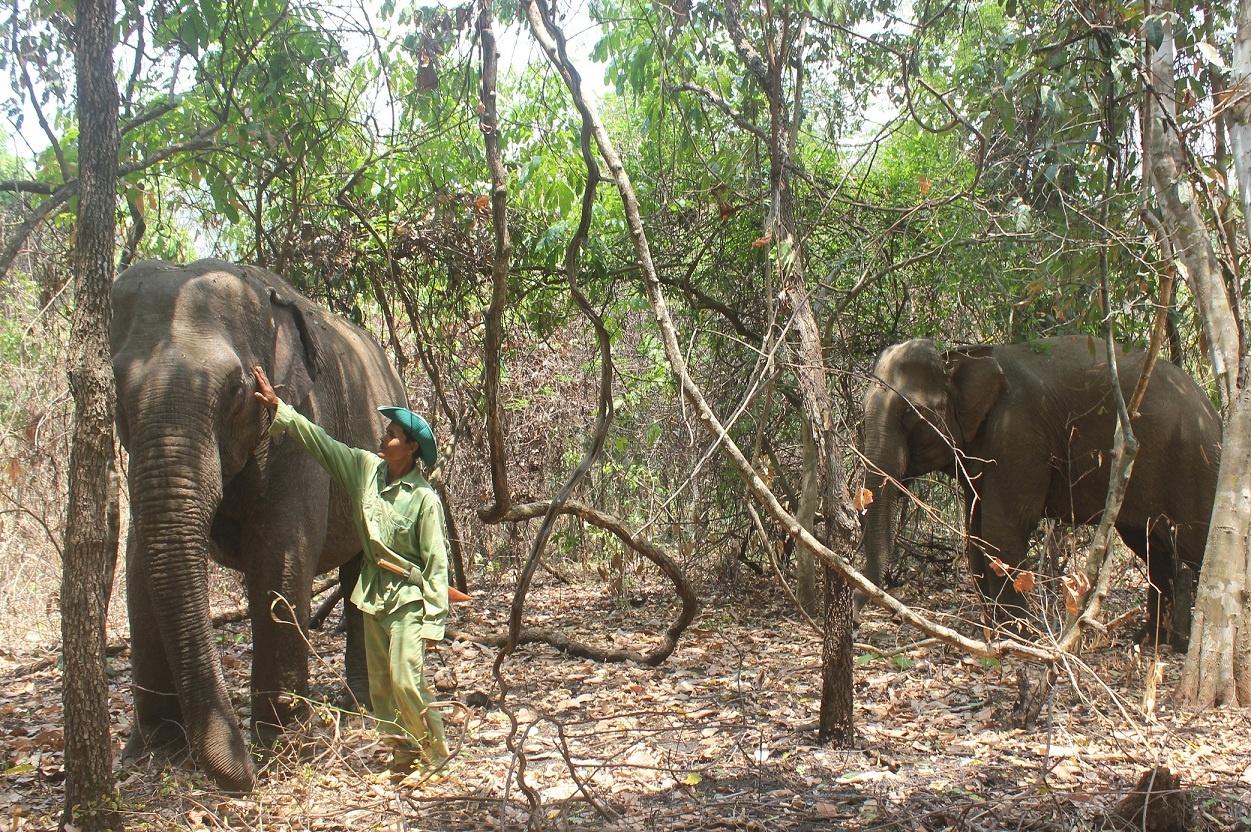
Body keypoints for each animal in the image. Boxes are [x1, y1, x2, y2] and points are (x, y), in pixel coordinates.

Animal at [110, 256, 407, 790]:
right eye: (117, 392)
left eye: (234, 389)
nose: (245, 776)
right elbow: (140, 563)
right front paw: (152, 754)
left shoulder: (303, 424)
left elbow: (279, 553)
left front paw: (282, 748)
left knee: (362, 569)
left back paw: (358, 705)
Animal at [860, 335, 1220, 645]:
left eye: (911, 414)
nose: (857, 614)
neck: (963, 355)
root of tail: (1209, 407)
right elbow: (974, 532)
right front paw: (992, 633)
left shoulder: (1019, 430)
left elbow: (1001, 527)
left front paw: (1018, 637)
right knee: (1153, 547)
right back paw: (1151, 641)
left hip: (1193, 465)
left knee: (1199, 542)